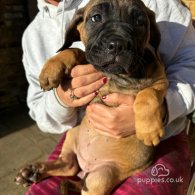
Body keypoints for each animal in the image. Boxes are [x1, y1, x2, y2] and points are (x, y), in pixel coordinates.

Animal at [15, 0, 168, 194]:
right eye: (96, 18)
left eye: (140, 21)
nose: (117, 44)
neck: (113, 75)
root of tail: (86, 168)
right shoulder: (91, 59)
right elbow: (75, 50)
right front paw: (51, 68)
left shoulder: (161, 81)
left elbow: (148, 95)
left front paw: (149, 130)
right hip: (73, 132)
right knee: (68, 164)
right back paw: (33, 172)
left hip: (101, 176)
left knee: (77, 175)